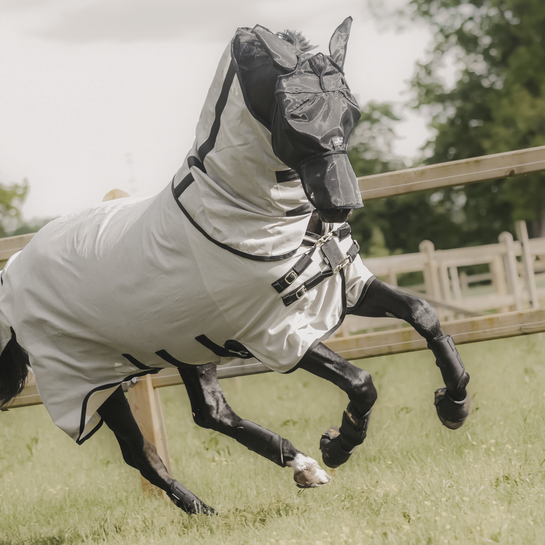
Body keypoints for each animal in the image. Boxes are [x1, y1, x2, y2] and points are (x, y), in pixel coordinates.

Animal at [0, 19, 470, 516]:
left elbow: (423, 314)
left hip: (185, 347)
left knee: (211, 414)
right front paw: (338, 444)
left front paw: (454, 404)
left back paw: (295, 470)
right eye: (294, 113)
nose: (342, 203)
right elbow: (361, 381)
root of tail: (13, 271)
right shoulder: (274, 334)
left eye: (351, 109)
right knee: (140, 451)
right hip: (90, 382)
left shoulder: (345, 288)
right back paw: (210, 507)